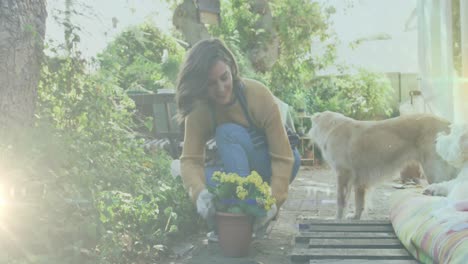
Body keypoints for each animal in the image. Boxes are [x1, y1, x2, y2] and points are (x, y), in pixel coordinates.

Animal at [308, 111, 458, 219]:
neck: (332, 127)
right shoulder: (359, 181)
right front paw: (356, 216)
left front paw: (338, 219)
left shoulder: (343, 174)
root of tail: (449, 124)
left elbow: (341, 201)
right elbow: (359, 202)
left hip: (433, 169)